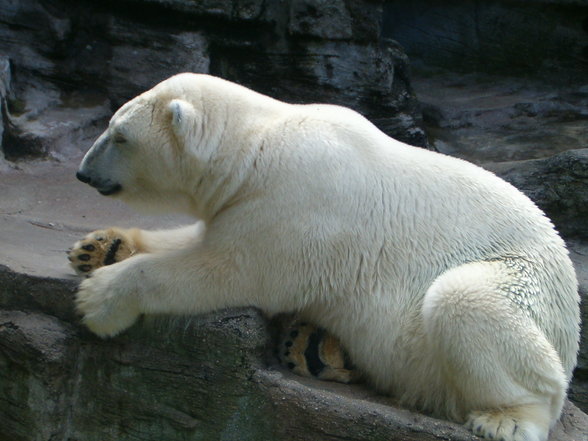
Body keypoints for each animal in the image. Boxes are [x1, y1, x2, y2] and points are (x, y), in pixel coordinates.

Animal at [70, 73, 580, 440]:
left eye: (119, 135)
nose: (82, 172)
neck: (255, 149)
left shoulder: (297, 204)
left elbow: (227, 269)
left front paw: (98, 301)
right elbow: (195, 239)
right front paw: (98, 247)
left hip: (522, 284)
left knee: (468, 302)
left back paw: (506, 419)